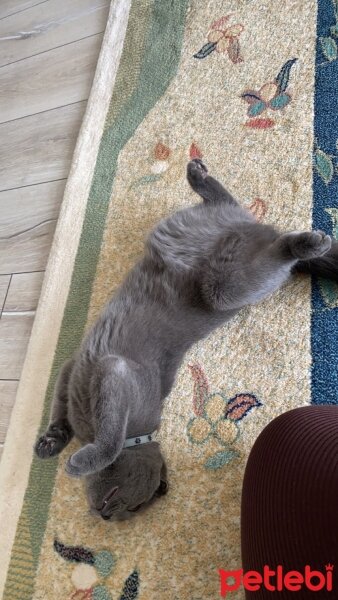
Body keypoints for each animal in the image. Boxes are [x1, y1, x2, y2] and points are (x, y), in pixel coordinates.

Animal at [34, 159, 338, 520]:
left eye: (134, 509)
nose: (107, 517)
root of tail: (258, 229)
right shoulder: (78, 369)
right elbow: (64, 409)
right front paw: (51, 442)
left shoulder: (113, 371)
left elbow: (108, 442)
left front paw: (77, 461)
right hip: (221, 255)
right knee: (231, 205)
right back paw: (200, 175)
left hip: (223, 289)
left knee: (271, 255)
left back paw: (307, 242)